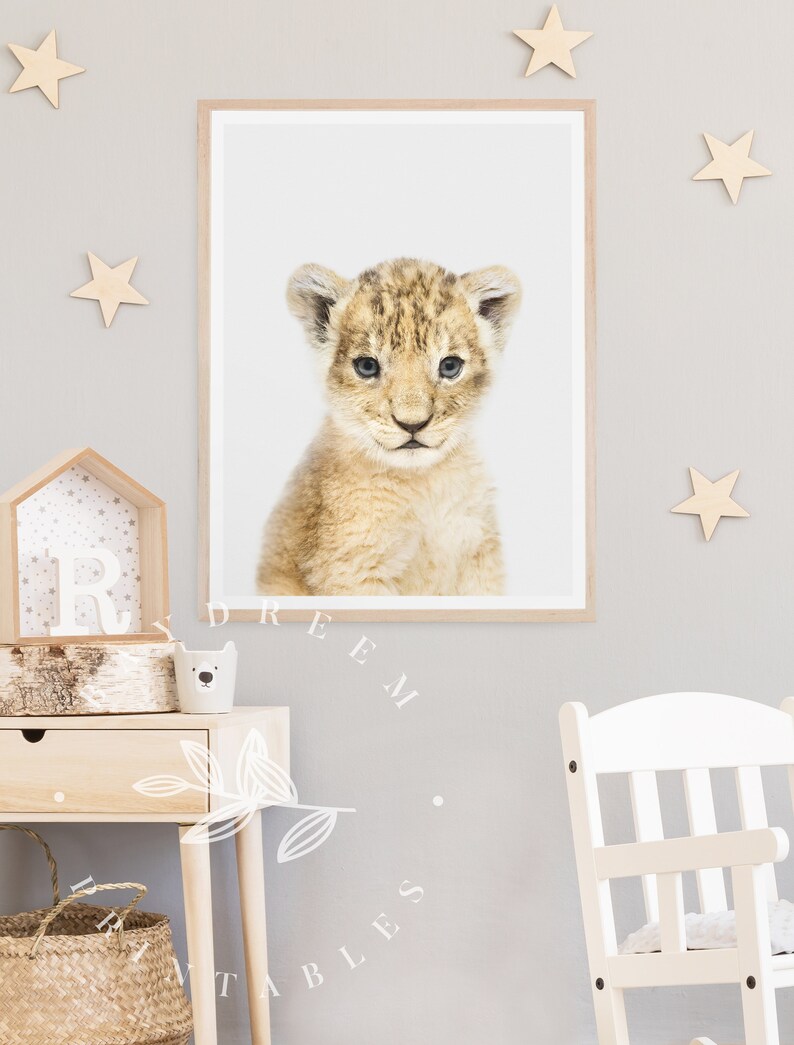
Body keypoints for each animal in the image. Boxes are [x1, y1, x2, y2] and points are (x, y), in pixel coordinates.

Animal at [256, 257, 521, 596]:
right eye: (367, 366)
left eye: (450, 366)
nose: (413, 423)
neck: (425, 485)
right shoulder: (353, 570)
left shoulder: (480, 556)